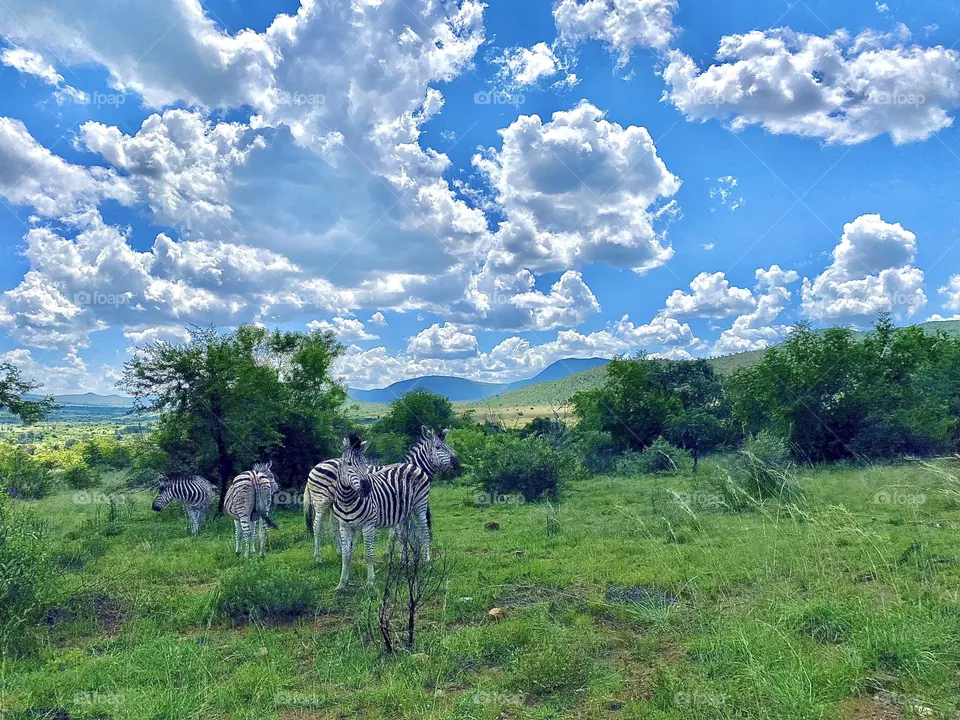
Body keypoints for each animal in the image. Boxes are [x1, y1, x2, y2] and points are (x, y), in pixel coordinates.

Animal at [303, 426, 458, 562]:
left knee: (333, 526)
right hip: (322, 502)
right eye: (438, 447)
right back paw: (318, 558)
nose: (456, 462)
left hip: (333, 505)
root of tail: (315, 467)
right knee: (317, 526)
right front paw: (395, 554)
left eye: (448, 446)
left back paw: (339, 552)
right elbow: (397, 532)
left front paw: (392, 553)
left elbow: (397, 531)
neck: (415, 468)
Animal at [332, 434, 432, 590]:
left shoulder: (368, 526)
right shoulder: (345, 526)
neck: (347, 500)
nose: (366, 487)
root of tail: (412, 465)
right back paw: (405, 562)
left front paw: (370, 582)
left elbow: (369, 554)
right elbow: (346, 556)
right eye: (348, 464)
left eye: (365, 464)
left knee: (424, 532)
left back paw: (427, 562)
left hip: (420, 506)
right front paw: (342, 584)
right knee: (405, 535)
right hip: (405, 514)